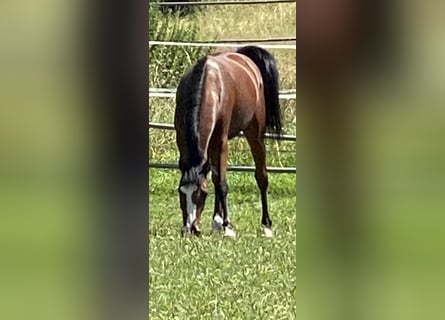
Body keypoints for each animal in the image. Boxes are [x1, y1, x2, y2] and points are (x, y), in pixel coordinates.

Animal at [173, 45, 280, 238]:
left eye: (202, 194)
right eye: (181, 192)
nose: (190, 229)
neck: (209, 86)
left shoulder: (221, 141)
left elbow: (221, 184)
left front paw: (228, 226)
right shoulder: (182, 139)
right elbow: (216, 179)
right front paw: (218, 222)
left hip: (255, 134)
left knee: (261, 176)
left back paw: (266, 224)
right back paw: (216, 221)